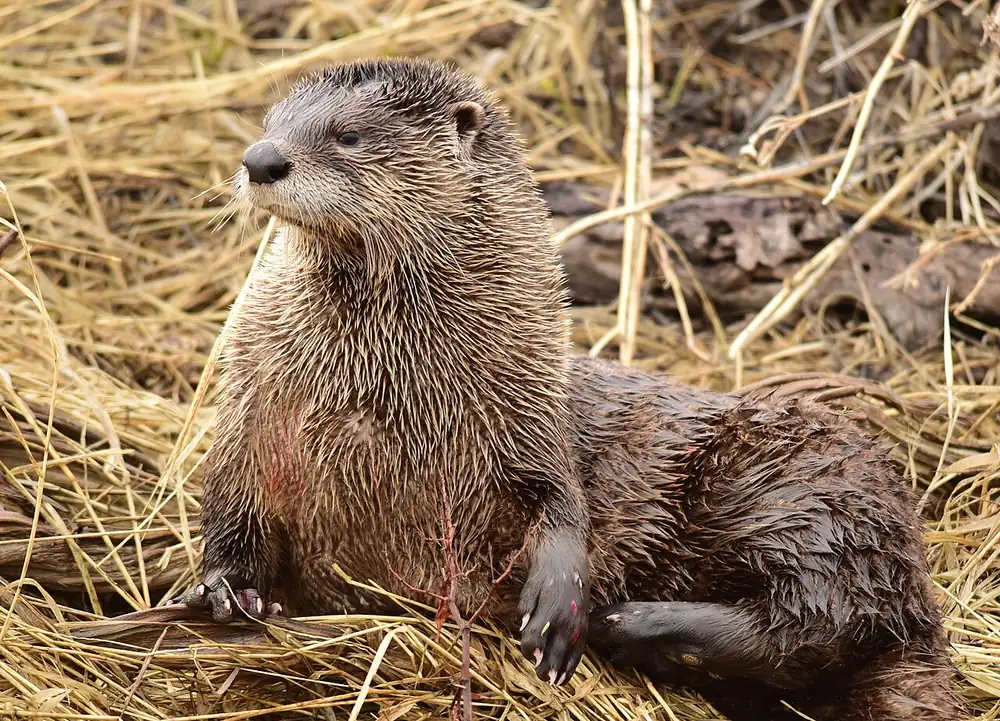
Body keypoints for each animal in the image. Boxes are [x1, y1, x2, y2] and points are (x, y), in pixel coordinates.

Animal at [179, 58, 962, 721]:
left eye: (348, 133)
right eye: (272, 120)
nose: (260, 159)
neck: (372, 398)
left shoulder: (527, 415)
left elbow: (561, 502)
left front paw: (558, 604)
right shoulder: (251, 416)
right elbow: (228, 504)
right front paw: (223, 588)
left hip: (798, 489)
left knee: (818, 619)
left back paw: (632, 622)